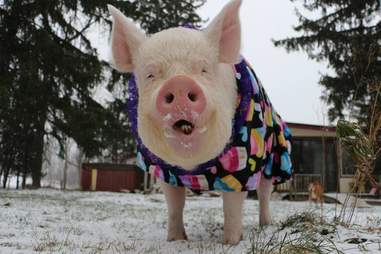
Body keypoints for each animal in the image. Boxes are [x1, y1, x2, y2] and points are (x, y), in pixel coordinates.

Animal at [108, 0, 292, 245]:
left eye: (203, 69)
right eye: (150, 75)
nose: (179, 83)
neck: (194, 169)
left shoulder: (244, 166)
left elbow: (232, 206)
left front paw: (231, 243)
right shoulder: (163, 170)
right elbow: (175, 204)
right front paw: (176, 240)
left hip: (275, 157)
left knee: (264, 192)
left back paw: (265, 225)